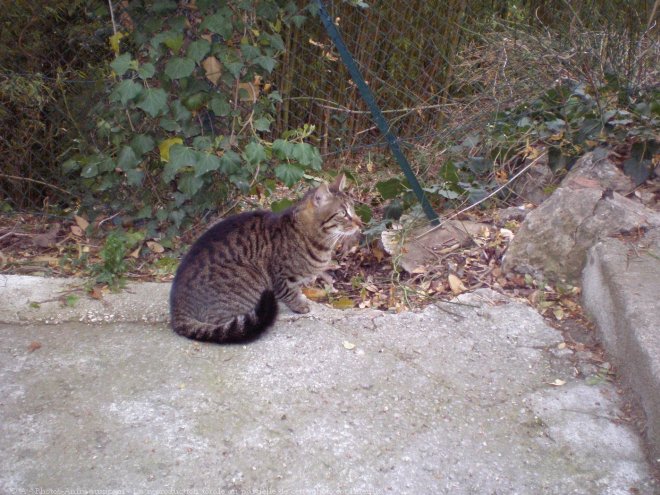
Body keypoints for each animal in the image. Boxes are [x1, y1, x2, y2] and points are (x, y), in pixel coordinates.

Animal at [168, 175, 358, 344]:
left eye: (354, 209)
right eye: (343, 213)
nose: (359, 222)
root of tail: (176, 310)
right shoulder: (281, 276)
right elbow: (289, 293)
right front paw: (300, 304)